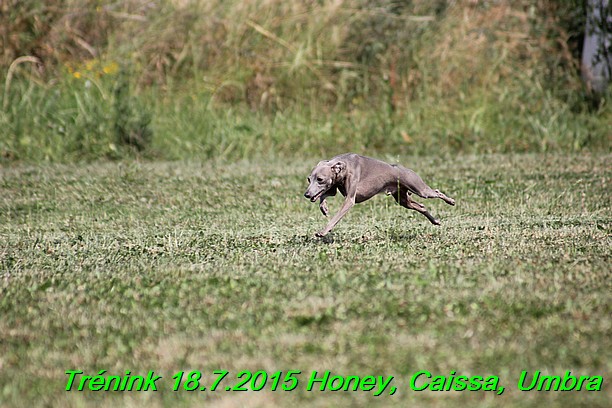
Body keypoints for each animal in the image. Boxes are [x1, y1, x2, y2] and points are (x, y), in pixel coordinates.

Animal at [304, 152, 454, 236]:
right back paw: (435, 221)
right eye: (309, 179)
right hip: (403, 200)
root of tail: (406, 169)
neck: (345, 164)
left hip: (420, 189)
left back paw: (451, 201)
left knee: (436, 192)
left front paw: (323, 232)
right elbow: (324, 195)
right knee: (421, 206)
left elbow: (336, 217)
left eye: (320, 179)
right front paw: (324, 208)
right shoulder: (334, 187)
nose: (306, 194)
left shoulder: (350, 199)